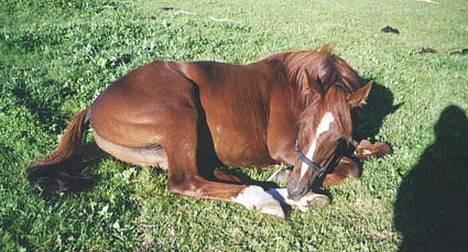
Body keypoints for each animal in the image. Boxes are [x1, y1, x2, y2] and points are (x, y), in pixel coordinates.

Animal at [26, 46, 392, 219]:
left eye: (336, 136)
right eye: (303, 125)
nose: (298, 187)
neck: (293, 85)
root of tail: (93, 106)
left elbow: (369, 150)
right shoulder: (285, 147)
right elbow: (352, 168)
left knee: (215, 172)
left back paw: (289, 196)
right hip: (180, 113)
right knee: (187, 180)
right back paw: (272, 198)